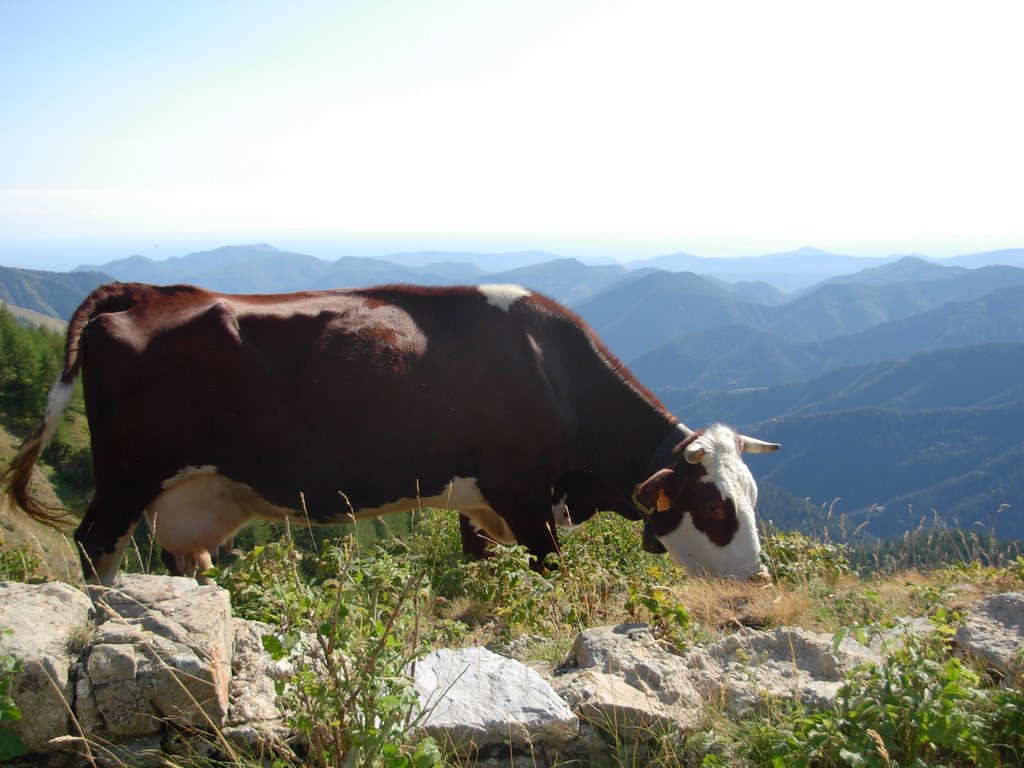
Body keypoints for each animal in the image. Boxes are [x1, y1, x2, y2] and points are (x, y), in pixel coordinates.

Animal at [0, 282, 774, 589]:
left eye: (754, 497)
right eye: (713, 506)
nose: (760, 577)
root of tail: (146, 291)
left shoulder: (482, 504)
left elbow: (483, 571)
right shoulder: (525, 496)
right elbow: (549, 574)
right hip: (127, 476)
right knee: (95, 547)